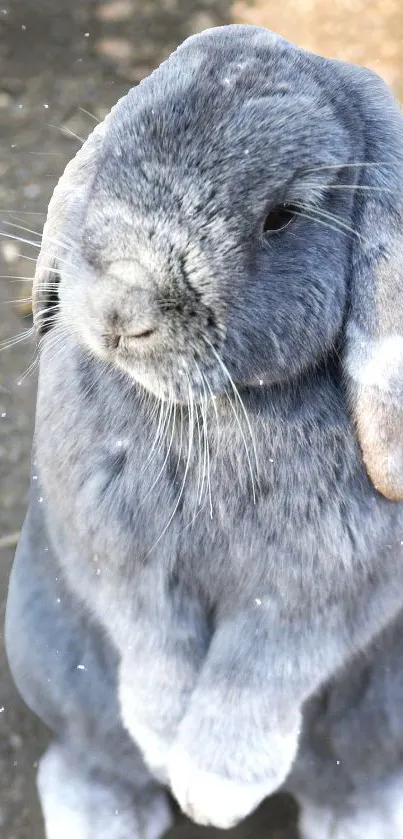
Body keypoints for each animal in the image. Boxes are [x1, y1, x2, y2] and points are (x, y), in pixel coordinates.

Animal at [6, 23, 403, 836]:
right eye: (113, 149)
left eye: (281, 216)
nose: (120, 310)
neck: (214, 410)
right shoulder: (121, 561)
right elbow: (154, 645)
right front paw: (166, 750)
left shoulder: (318, 595)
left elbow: (259, 672)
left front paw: (215, 790)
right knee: (88, 758)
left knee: (352, 782)